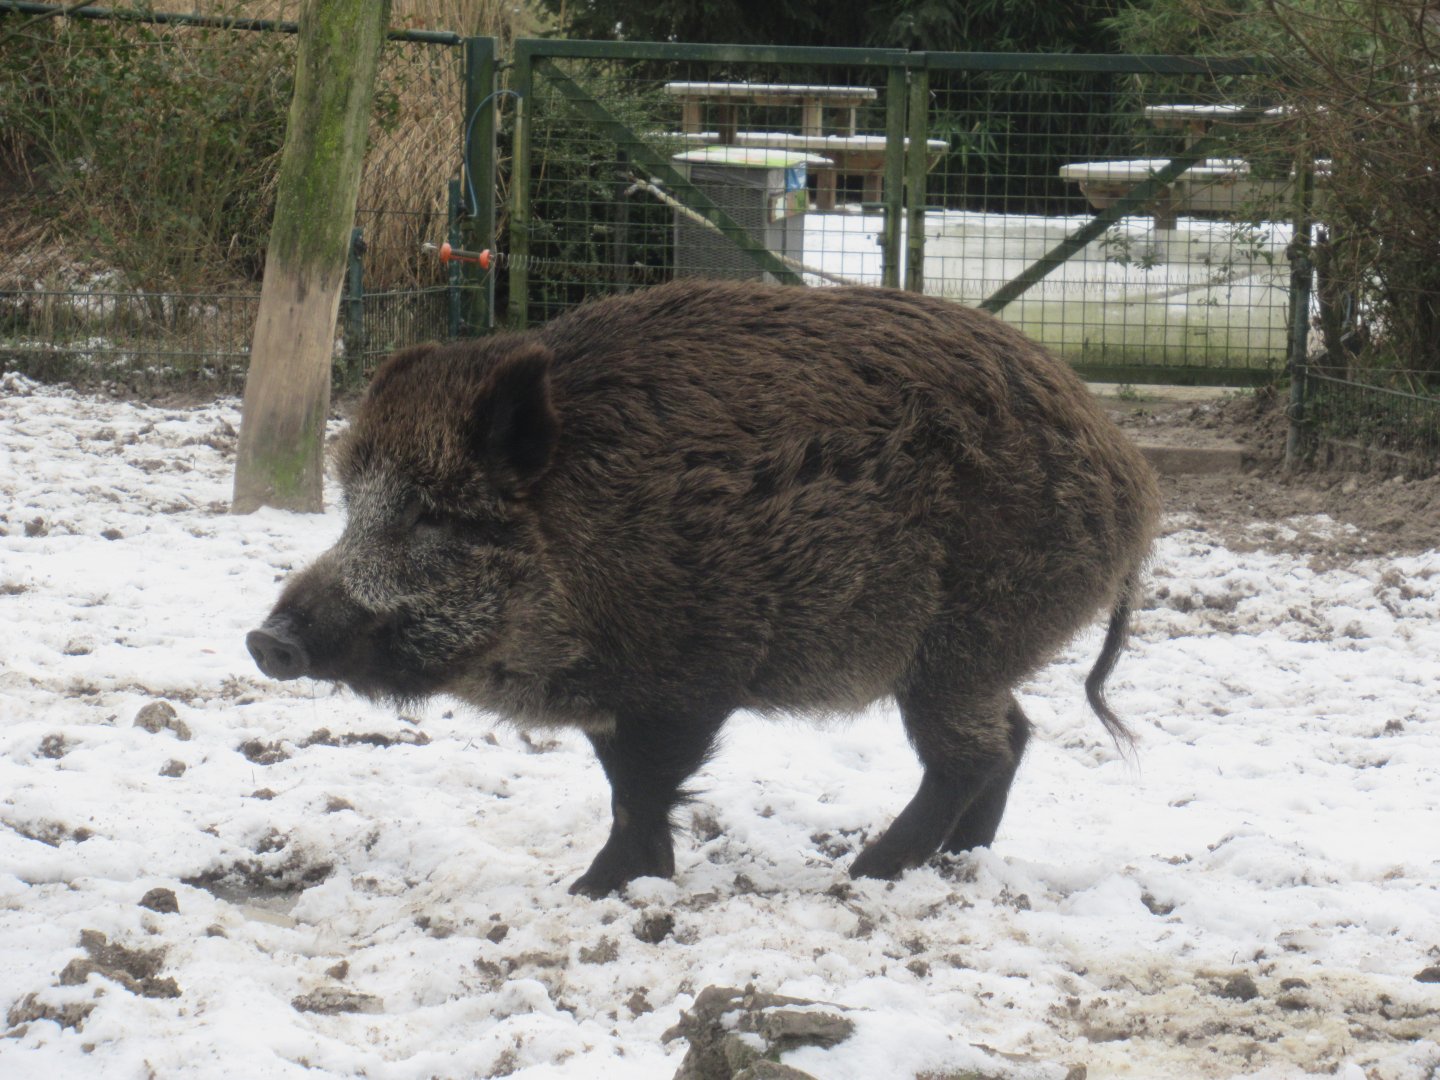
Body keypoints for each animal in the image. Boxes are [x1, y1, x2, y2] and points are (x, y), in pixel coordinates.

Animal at [247, 280, 1161, 897]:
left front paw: (592, 891)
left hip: (958, 645)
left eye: (433, 518)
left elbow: (642, 789)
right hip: (975, 656)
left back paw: (868, 872)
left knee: (974, 753)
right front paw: (626, 884)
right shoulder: (616, 695)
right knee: (1015, 733)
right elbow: (622, 784)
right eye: (355, 505)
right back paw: (959, 862)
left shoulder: (686, 674)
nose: (267, 639)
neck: (580, 549)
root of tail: (1130, 482)